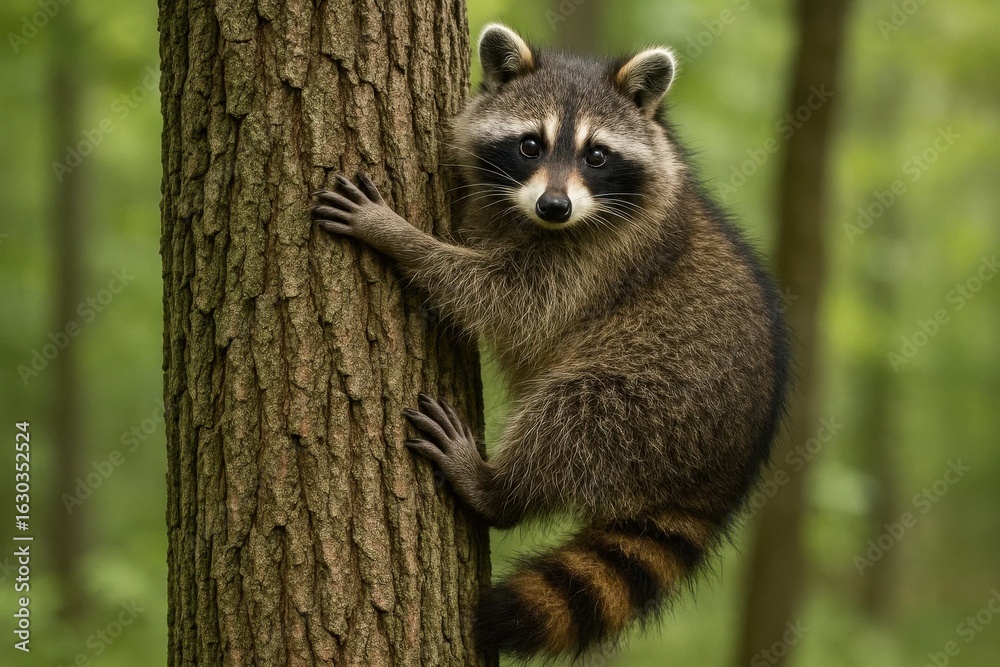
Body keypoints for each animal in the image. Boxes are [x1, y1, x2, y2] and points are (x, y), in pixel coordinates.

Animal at [311, 23, 790, 660]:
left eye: (596, 154)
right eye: (529, 146)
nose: (554, 206)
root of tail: (726, 469)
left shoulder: (596, 262)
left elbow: (497, 297)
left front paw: (397, 236)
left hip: (655, 396)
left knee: (573, 414)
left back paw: (496, 487)